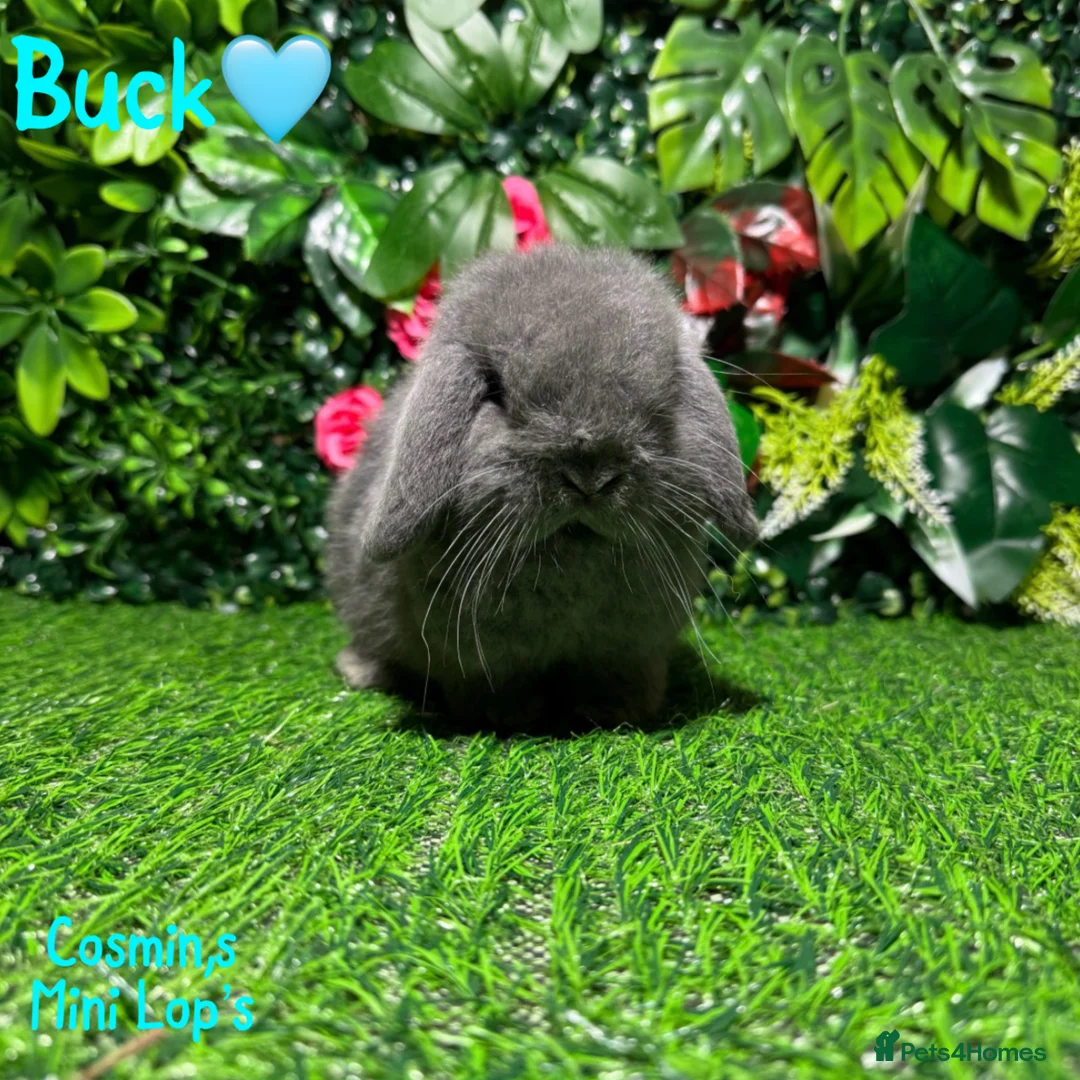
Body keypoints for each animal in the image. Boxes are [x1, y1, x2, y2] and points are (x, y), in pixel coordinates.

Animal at [326, 246, 757, 728]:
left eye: (661, 402)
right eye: (495, 392)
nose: (590, 478)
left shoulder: (628, 654)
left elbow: (620, 682)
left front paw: (613, 714)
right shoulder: (482, 664)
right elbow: (493, 691)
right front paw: (508, 719)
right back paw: (359, 671)